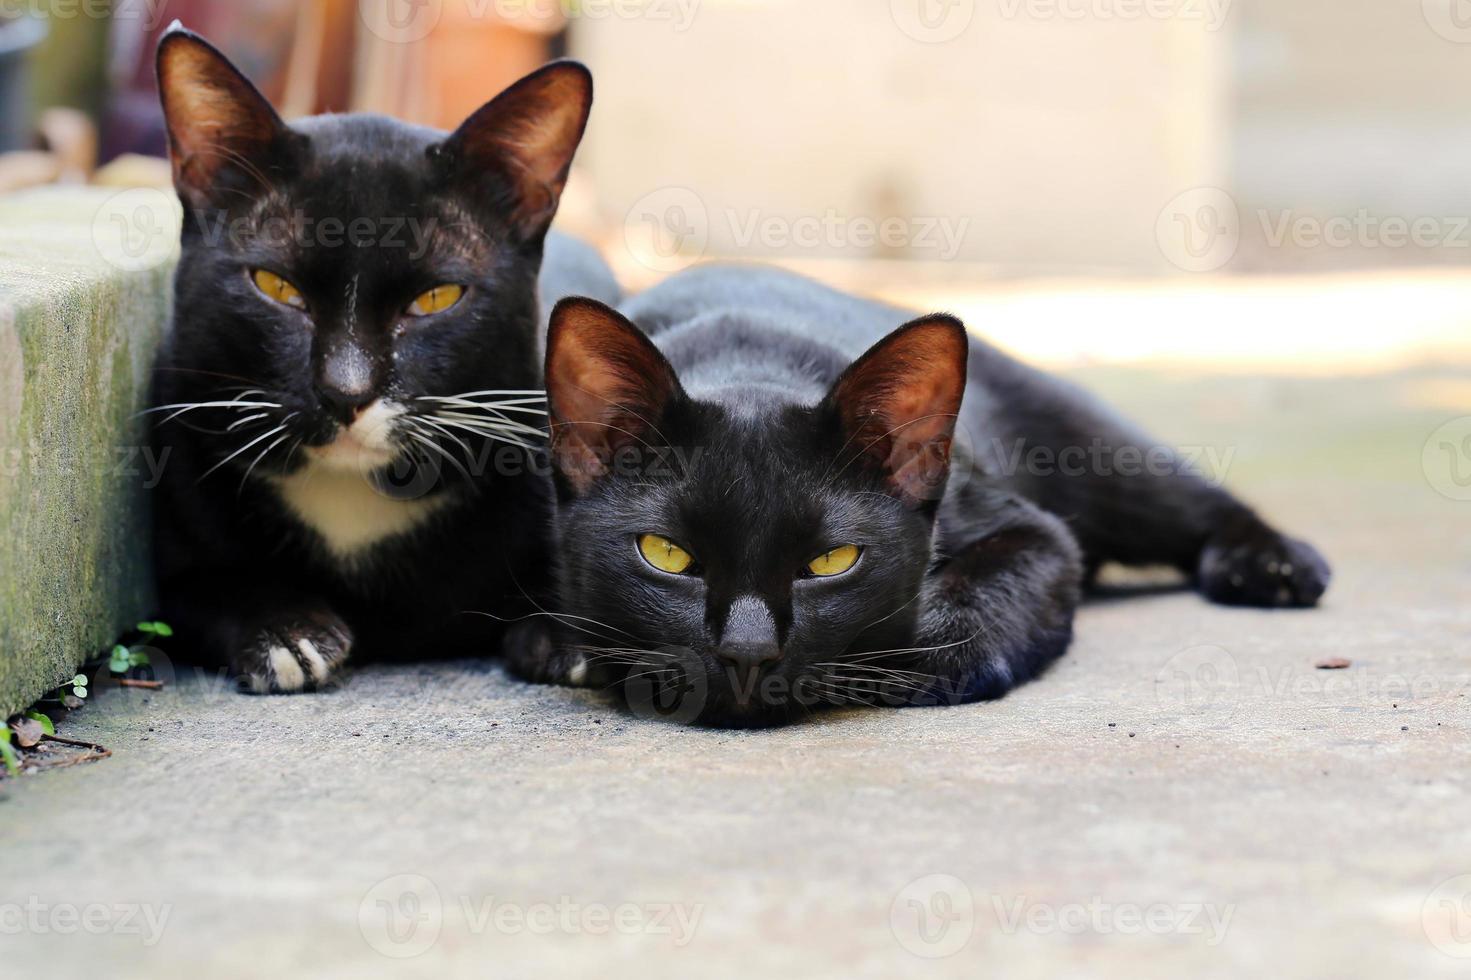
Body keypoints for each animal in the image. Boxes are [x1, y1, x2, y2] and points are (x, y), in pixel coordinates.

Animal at [144, 28, 614, 685]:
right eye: (276, 286)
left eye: (437, 297)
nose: (346, 391)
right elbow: (200, 588)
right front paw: (284, 630)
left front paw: (573, 632)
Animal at [529, 263, 1335, 721]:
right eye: (665, 555)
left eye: (832, 562)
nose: (748, 654)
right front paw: (563, 646)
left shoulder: (1033, 532)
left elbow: (977, 598)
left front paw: (913, 660)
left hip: (1093, 453)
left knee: (1192, 503)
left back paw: (1272, 565)